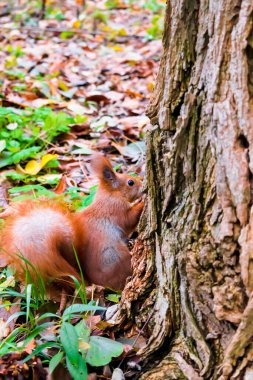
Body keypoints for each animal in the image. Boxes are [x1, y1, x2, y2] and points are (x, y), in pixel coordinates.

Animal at [0, 153, 143, 290]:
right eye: (130, 182)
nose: (142, 185)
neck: (110, 195)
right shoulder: (115, 210)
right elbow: (129, 220)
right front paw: (141, 203)